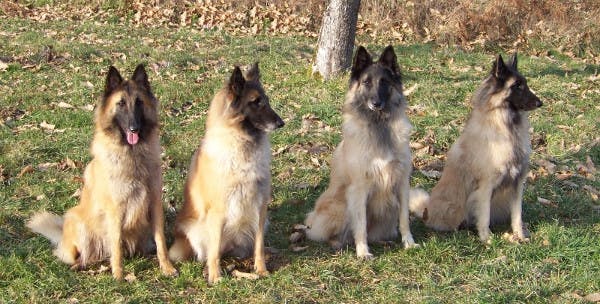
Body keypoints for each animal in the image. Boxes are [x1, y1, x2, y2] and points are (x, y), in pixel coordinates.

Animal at [166, 63, 284, 284]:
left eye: (267, 101)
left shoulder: (260, 207)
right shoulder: (219, 211)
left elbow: (259, 245)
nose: (281, 123)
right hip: (196, 230)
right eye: (256, 102)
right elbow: (213, 252)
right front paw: (215, 276)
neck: (242, 143)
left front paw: (261, 270)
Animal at [304, 45, 418, 258]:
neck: (379, 125)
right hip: (341, 205)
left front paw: (409, 242)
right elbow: (361, 224)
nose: (376, 103)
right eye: (366, 82)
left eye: (384, 82)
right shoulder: (359, 188)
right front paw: (363, 251)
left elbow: (404, 218)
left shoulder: (402, 183)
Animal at [408, 53, 544, 243]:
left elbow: (517, 216)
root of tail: (427, 211)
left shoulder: (517, 184)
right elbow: (484, 216)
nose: (540, 103)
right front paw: (487, 239)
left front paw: (520, 236)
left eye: (525, 84)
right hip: (455, 208)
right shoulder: (485, 187)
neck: (507, 127)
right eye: (517, 86)